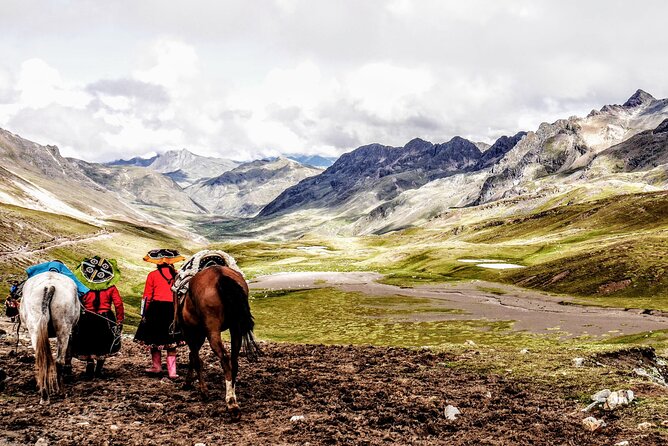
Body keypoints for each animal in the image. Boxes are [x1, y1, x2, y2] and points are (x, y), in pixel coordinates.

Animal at [19, 272, 80, 404]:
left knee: (47, 361)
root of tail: (49, 285)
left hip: (37, 329)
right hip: (63, 327)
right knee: (58, 361)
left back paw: (47, 394)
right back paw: (57, 392)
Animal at [179, 266, 260, 420]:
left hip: (213, 332)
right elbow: (194, 357)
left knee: (224, 358)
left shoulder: (192, 334)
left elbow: (195, 359)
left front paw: (202, 390)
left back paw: (231, 403)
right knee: (233, 361)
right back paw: (232, 396)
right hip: (235, 329)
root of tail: (219, 275)